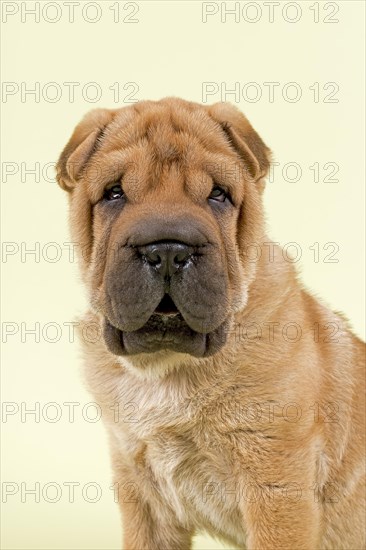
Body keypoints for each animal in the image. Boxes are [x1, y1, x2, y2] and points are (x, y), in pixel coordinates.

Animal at [55, 99, 364, 550]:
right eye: (114, 193)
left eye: (218, 194)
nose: (167, 250)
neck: (167, 370)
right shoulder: (141, 489)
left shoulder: (276, 482)